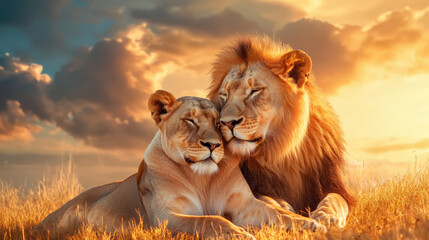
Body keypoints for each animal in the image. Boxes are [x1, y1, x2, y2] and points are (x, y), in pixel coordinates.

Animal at [37, 90, 324, 238]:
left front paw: (312, 224)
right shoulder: (165, 216)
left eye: (218, 123)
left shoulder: (245, 205)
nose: (212, 145)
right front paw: (240, 234)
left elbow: (278, 213)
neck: (202, 179)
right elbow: (211, 221)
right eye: (190, 121)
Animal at [206, 35, 352, 229]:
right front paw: (283, 206)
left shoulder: (332, 183)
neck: (279, 151)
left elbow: (336, 199)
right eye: (224, 95)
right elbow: (267, 200)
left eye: (255, 91)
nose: (227, 122)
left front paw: (326, 215)